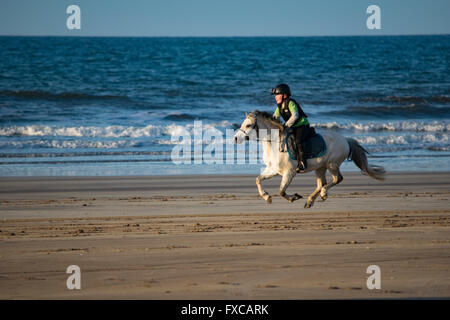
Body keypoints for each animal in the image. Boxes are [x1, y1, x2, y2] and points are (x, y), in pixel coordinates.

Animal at [234, 110, 384, 209]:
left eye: (248, 125)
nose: (235, 138)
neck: (275, 143)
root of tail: (346, 140)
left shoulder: (289, 173)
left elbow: (281, 191)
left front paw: (293, 197)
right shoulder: (273, 170)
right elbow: (258, 180)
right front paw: (267, 197)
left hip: (332, 164)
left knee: (336, 179)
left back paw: (323, 194)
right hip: (320, 168)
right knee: (321, 183)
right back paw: (310, 201)